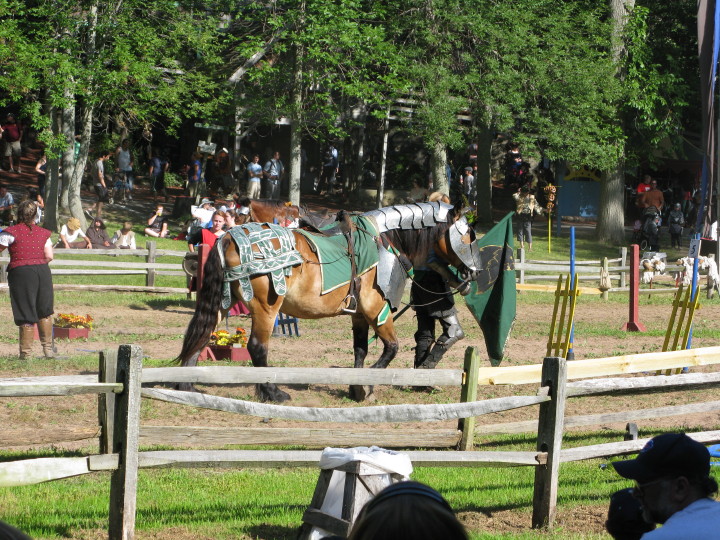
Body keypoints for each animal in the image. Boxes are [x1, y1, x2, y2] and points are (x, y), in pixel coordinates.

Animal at [177, 200, 484, 402]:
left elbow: (360, 350)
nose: (475, 274)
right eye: (469, 235)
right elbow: (391, 348)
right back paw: (273, 392)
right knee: (257, 348)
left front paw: (356, 387)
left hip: (223, 303)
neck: (385, 239)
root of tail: (228, 238)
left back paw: (187, 386)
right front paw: (367, 388)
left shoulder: (359, 314)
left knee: (203, 333)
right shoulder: (376, 308)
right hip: (266, 308)